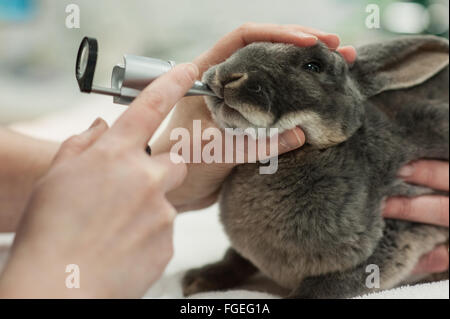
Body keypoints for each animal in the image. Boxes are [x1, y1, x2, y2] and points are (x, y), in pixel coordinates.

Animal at [181, 36, 448, 298]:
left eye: (313, 66)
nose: (228, 75)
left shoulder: (390, 242)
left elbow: (319, 288)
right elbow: (235, 259)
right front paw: (198, 280)